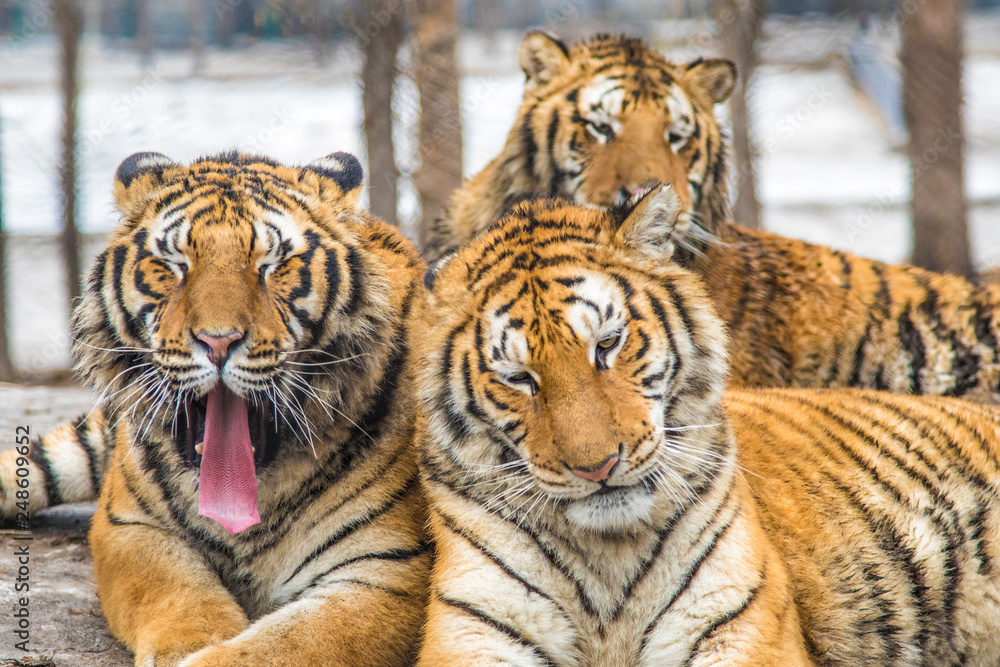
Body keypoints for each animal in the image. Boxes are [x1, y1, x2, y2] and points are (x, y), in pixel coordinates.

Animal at [0, 151, 430, 666]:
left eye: (272, 266)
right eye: (175, 265)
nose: (218, 341)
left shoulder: (389, 567)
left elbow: (288, 643)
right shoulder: (131, 526)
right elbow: (177, 590)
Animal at [415, 188, 1000, 666]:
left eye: (607, 344)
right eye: (519, 378)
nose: (598, 467)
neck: (607, 561)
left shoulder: (739, 625)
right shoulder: (476, 630)